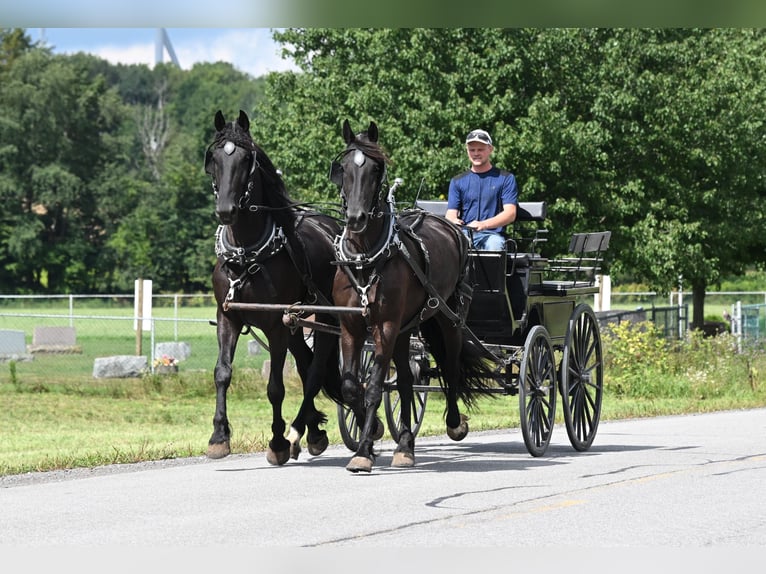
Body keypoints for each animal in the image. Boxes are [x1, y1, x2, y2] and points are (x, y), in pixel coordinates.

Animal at [205, 109, 343, 465]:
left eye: (246, 160)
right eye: (214, 158)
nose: (226, 209)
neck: (246, 253)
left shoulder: (275, 324)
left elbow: (275, 387)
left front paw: (278, 441)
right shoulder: (228, 317)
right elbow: (222, 372)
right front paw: (219, 437)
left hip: (324, 319)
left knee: (315, 371)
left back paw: (298, 431)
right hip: (297, 323)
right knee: (307, 364)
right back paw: (313, 432)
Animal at [331, 119, 497, 473]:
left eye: (376, 168)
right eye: (343, 167)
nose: (356, 218)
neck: (367, 258)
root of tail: (452, 228)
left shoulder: (386, 325)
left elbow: (374, 387)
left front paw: (363, 451)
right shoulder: (351, 325)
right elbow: (352, 386)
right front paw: (374, 433)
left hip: (448, 319)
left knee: (450, 368)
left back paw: (454, 424)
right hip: (406, 328)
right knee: (407, 380)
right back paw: (405, 444)